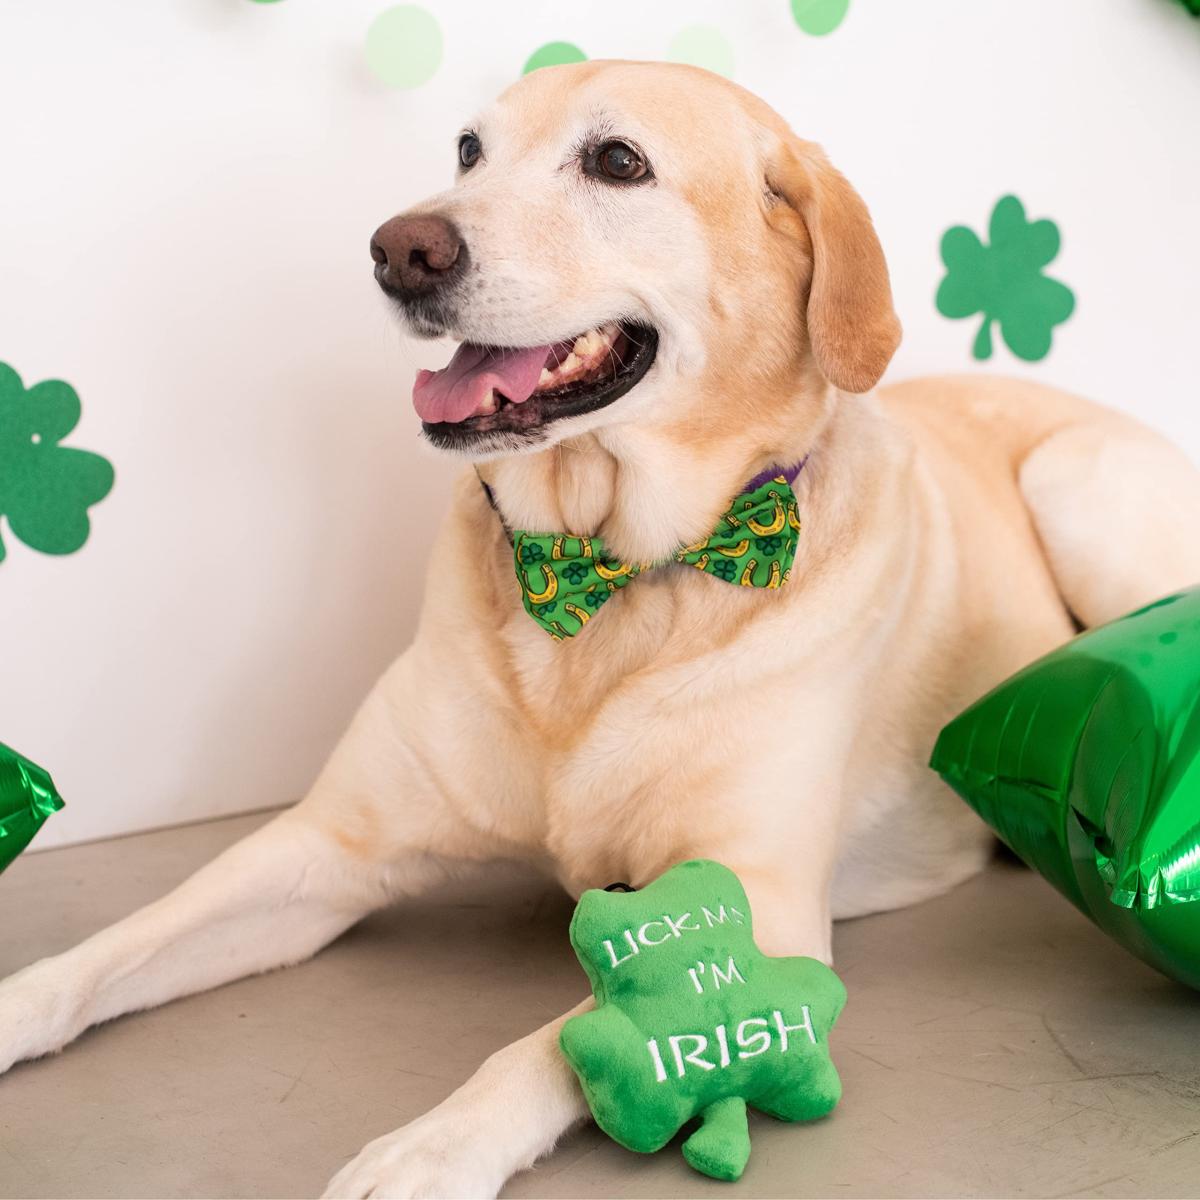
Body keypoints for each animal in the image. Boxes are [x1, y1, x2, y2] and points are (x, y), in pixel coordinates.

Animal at [2, 63, 1200, 1200]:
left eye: (618, 162)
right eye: (467, 150)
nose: (400, 249)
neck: (607, 579)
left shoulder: (760, 911)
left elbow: (559, 1045)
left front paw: (430, 1149)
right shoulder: (326, 848)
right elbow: (119, 943)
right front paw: (22, 1003)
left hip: (1076, 483)